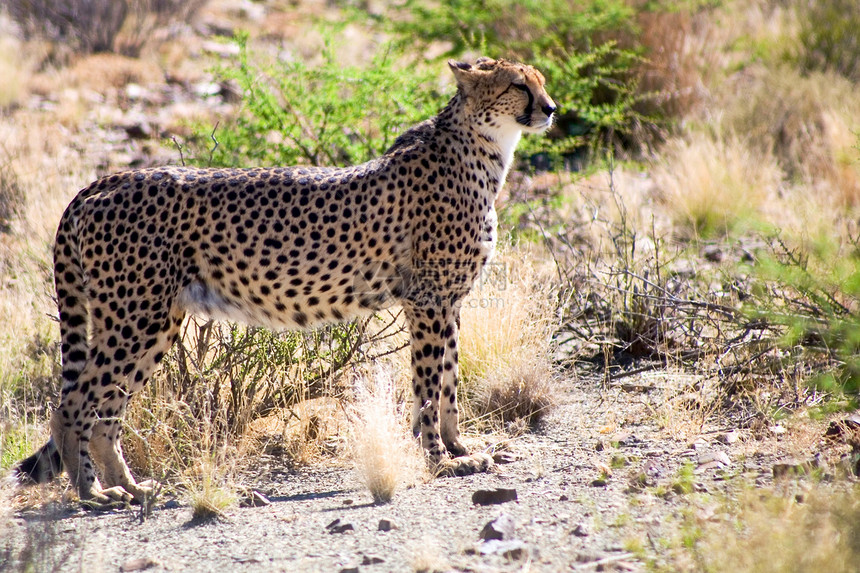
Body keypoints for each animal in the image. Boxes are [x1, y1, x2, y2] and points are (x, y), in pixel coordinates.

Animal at [18, 57, 556, 504]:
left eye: (542, 82)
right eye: (517, 85)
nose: (551, 109)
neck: (482, 148)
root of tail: (105, 181)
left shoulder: (449, 301)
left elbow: (450, 380)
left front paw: (460, 449)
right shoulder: (427, 299)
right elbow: (429, 385)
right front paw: (439, 461)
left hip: (153, 321)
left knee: (106, 410)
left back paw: (129, 487)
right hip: (135, 318)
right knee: (73, 405)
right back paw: (92, 493)